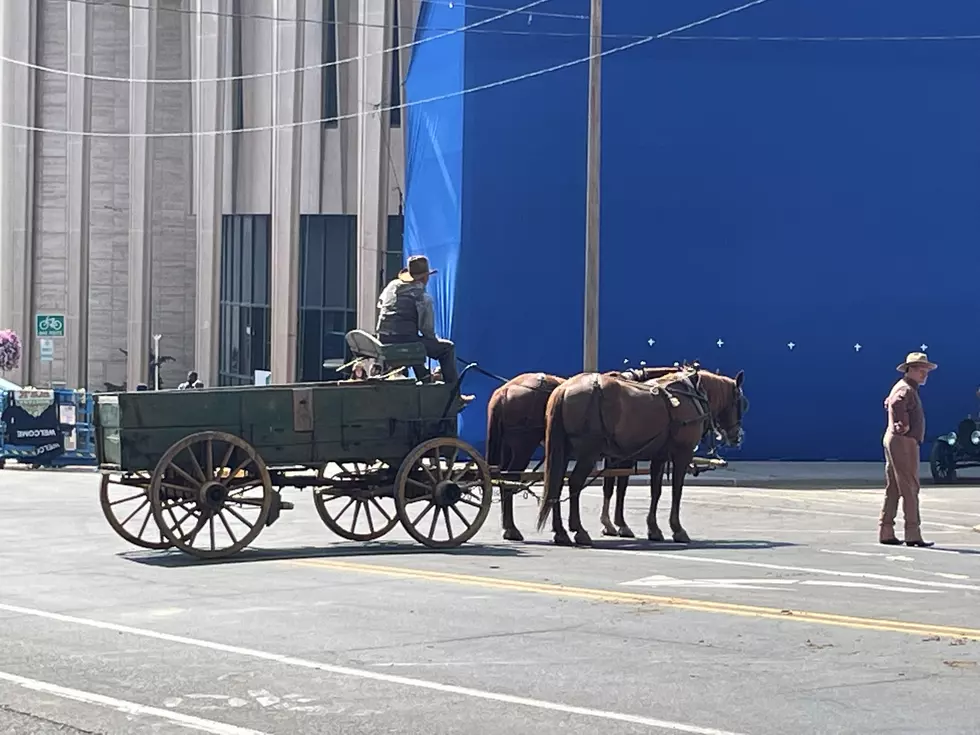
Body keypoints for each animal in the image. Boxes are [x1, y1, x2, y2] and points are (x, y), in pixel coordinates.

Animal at [532, 368, 748, 548]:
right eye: (741, 404)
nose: (737, 437)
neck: (691, 396)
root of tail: (564, 388)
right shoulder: (682, 454)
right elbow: (676, 491)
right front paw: (677, 529)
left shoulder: (659, 456)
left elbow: (655, 491)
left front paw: (653, 529)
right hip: (588, 454)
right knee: (574, 483)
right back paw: (579, 531)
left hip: (564, 452)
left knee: (557, 483)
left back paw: (561, 532)